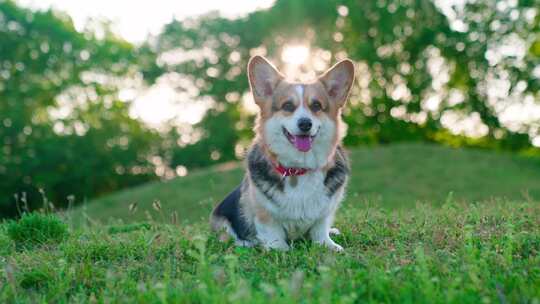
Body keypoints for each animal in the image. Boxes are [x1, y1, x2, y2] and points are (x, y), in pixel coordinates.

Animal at [210, 55, 354, 251]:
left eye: (316, 105)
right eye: (287, 106)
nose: (305, 123)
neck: (298, 168)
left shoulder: (325, 212)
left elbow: (320, 230)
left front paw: (329, 245)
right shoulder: (265, 215)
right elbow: (274, 235)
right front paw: (281, 250)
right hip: (222, 219)